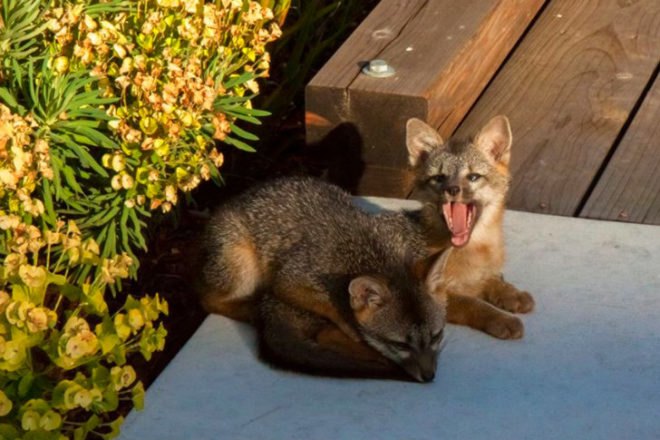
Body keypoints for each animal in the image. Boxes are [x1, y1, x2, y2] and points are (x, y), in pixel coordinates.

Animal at [199, 177, 450, 382]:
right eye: (400, 344)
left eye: (436, 336)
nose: (429, 377)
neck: (369, 251)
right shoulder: (291, 278)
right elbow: (333, 308)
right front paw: (350, 325)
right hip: (241, 265)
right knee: (208, 299)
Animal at [404, 115, 534, 339]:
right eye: (439, 178)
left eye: (473, 177)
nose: (452, 189)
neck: (473, 251)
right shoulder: (434, 295)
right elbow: (473, 304)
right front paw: (501, 319)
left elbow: (491, 280)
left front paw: (511, 293)